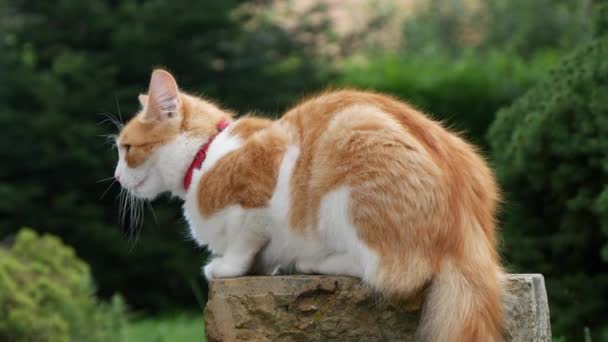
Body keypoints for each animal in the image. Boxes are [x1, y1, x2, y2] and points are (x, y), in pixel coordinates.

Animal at [114, 70, 504, 342]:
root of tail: (468, 230)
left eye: (126, 148)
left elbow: (244, 241)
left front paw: (226, 266)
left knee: (388, 272)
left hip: (346, 165)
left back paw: (313, 262)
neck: (205, 158)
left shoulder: (263, 192)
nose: (116, 177)